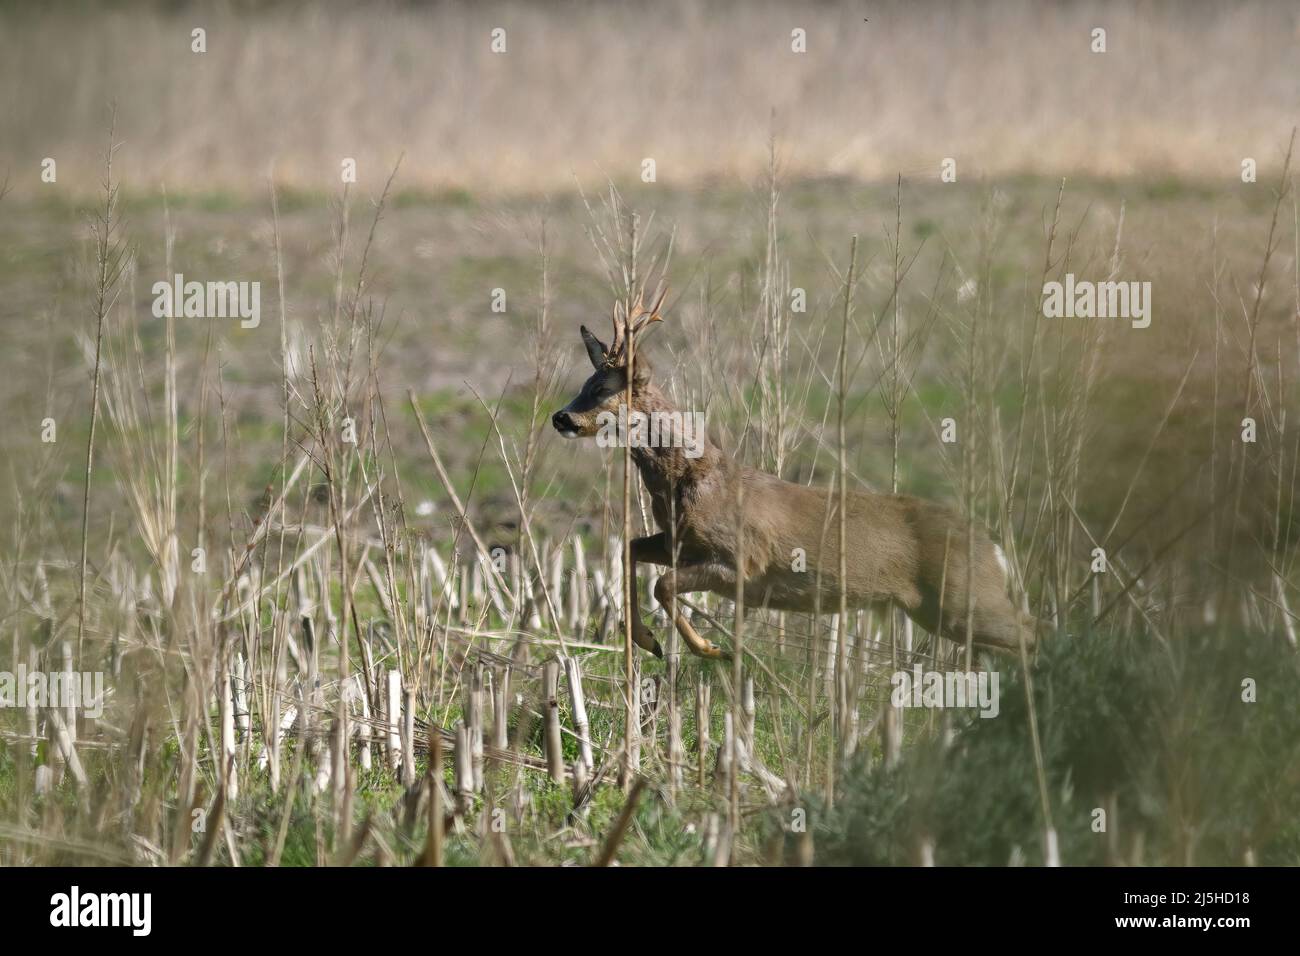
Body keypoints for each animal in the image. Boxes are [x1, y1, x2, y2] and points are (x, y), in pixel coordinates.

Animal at [551, 291, 1038, 662]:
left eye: (602, 389)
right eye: (584, 383)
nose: (561, 417)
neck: (691, 481)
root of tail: (994, 548)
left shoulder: (743, 558)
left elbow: (662, 584)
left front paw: (710, 649)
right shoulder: (678, 541)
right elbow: (631, 550)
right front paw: (647, 640)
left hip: (967, 600)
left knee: (1034, 632)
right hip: (942, 611)